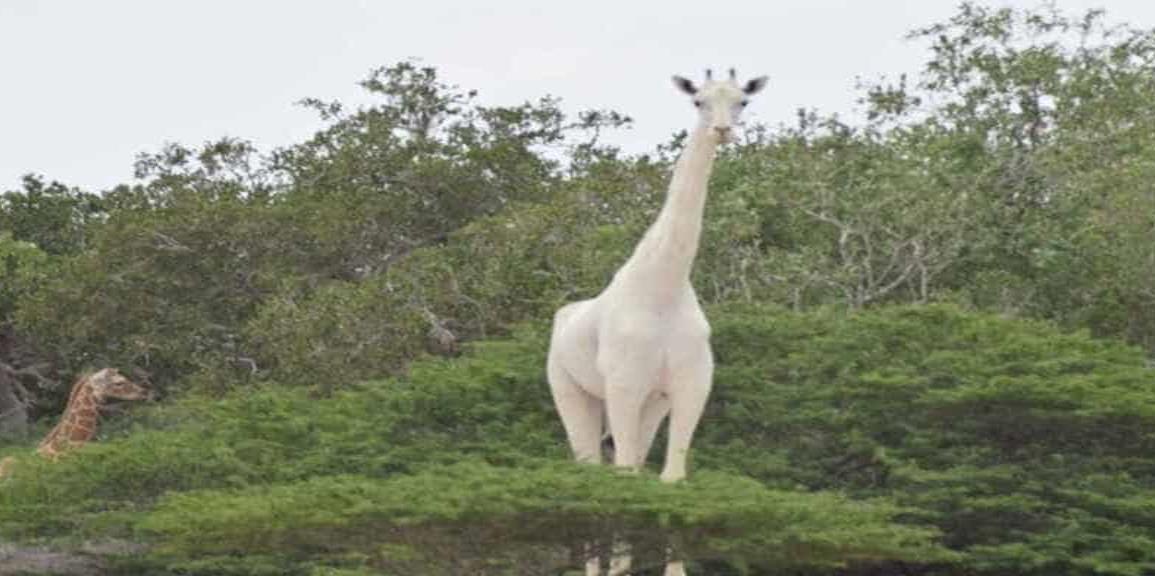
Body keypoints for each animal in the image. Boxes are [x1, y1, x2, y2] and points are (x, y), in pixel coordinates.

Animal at [547, 68, 766, 576]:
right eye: (698, 101)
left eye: (742, 101)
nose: (722, 130)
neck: (663, 287)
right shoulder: (624, 385)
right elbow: (626, 478)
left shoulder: (690, 386)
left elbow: (670, 479)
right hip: (572, 390)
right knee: (592, 469)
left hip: (650, 405)